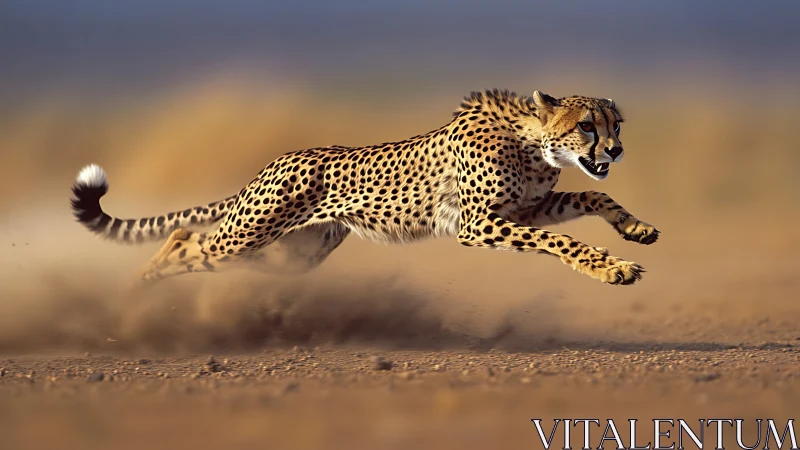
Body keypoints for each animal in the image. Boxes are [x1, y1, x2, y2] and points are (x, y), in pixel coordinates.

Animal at [70, 89, 659, 286]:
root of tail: (277, 160)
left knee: (190, 243)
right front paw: (608, 268)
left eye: (617, 125)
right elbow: (563, 241)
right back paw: (138, 289)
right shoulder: (479, 224)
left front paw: (635, 231)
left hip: (289, 255)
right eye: (588, 126)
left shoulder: (526, 211)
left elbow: (591, 197)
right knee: (185, 240)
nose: (615, 151)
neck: (535, 145)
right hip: (246, 237)